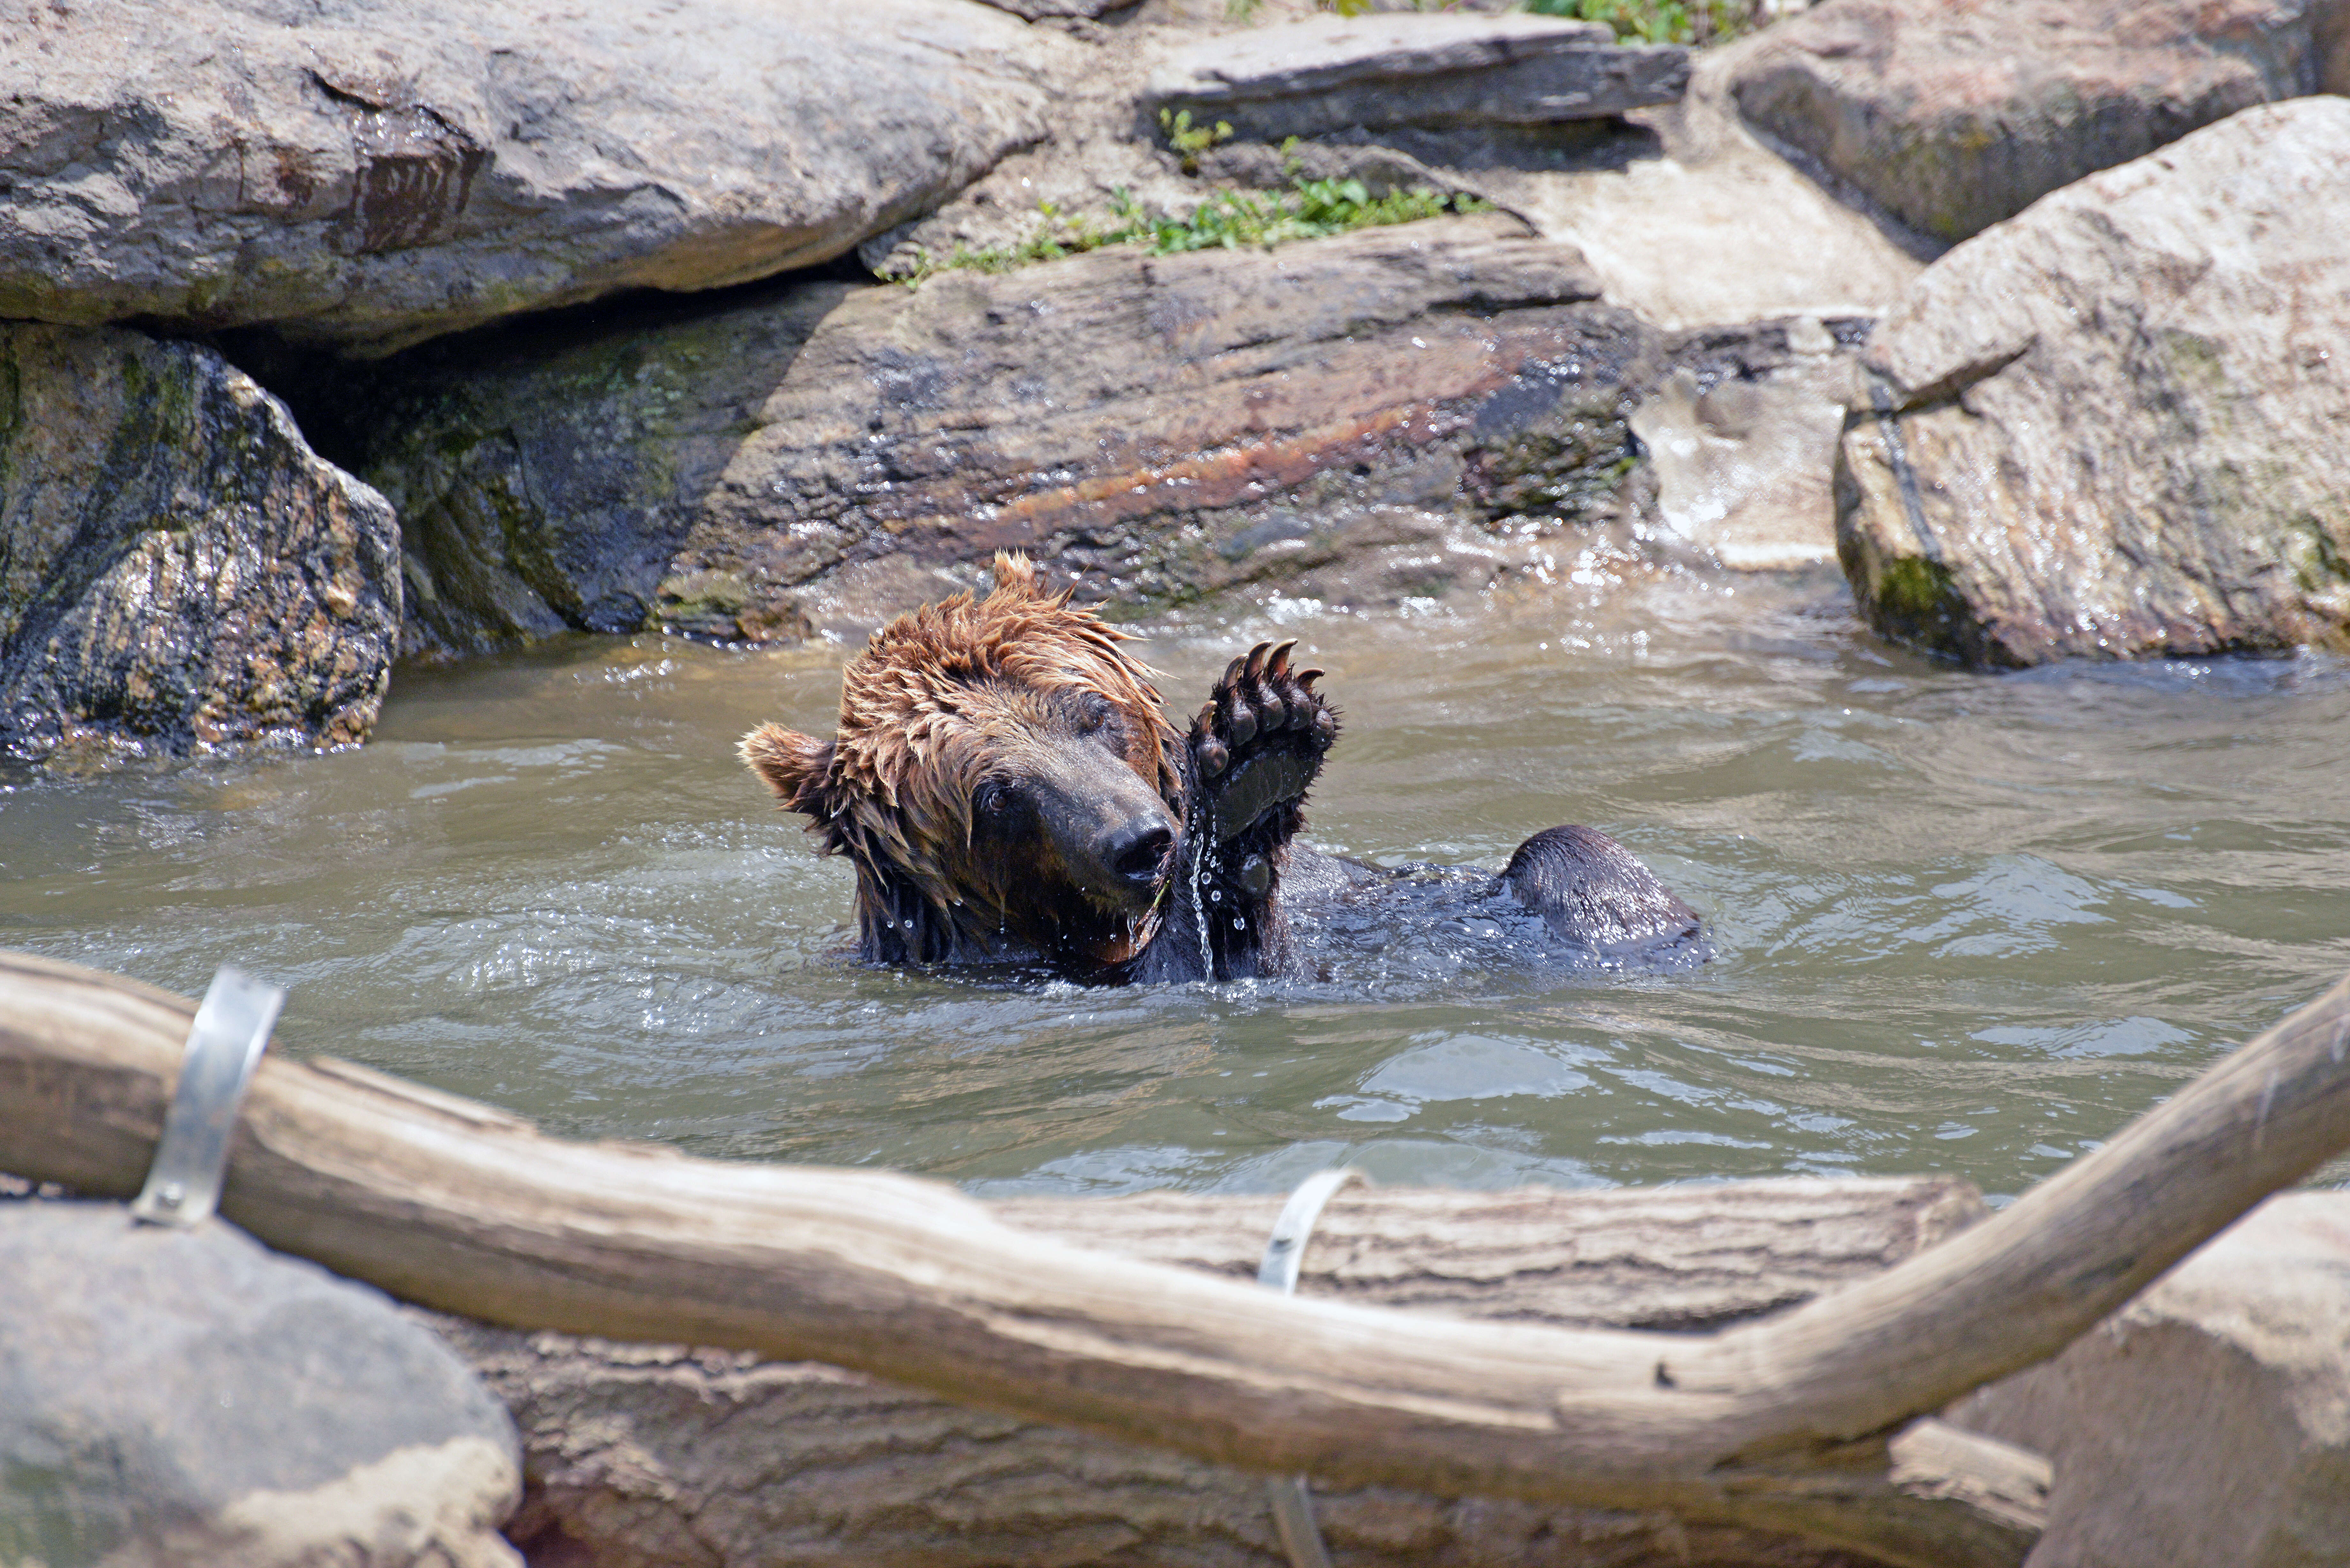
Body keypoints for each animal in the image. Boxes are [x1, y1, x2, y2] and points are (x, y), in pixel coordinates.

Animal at [742, 557, 1701, 987]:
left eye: (1092, 714)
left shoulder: (1360, 888)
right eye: (996, 795)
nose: (1144, 841)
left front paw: (1265, 722)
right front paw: (1244, 787)